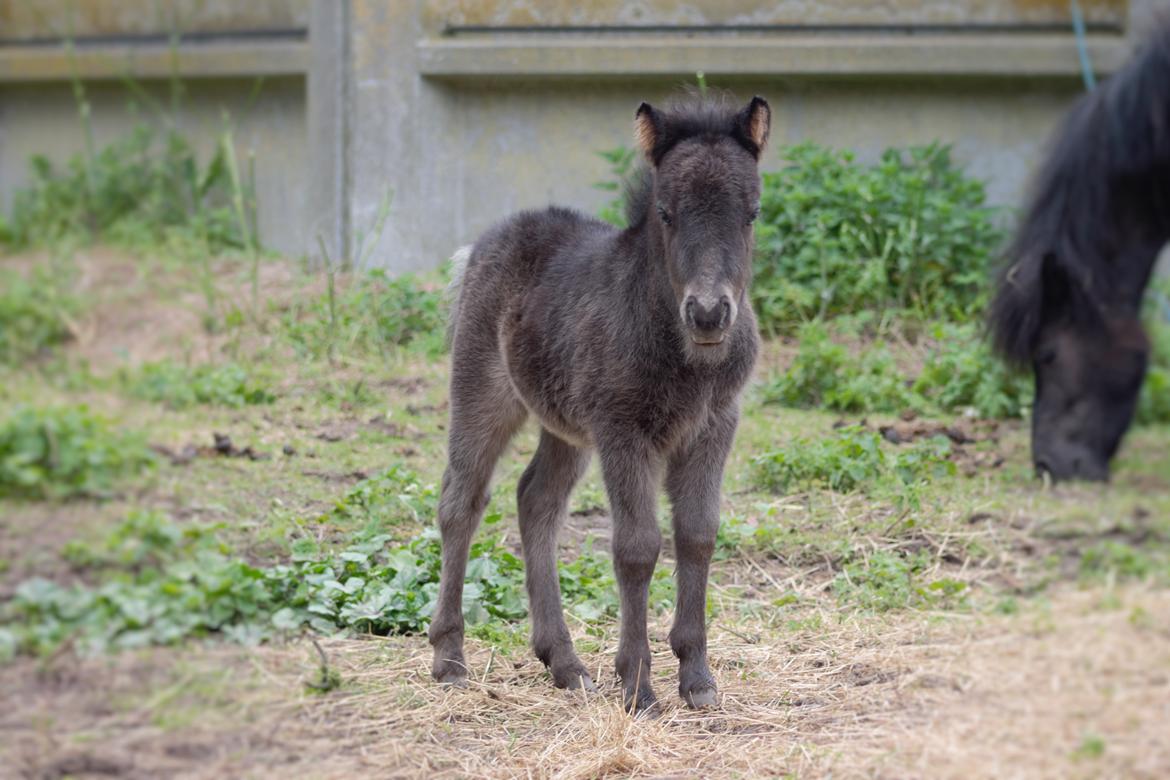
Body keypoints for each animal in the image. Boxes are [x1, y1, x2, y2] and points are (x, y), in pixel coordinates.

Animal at [428, 94, 767, 715]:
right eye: (666, 213)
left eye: (751, 214)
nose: (709, 314)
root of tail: (489, 239)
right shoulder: (622, 431)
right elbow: (637, 547)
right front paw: (637, 687)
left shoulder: (714, 427)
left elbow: (698, 535)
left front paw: (697, 678)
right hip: (483, 391)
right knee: (461, 502)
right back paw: (450, 658)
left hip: (564, 426)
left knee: (535, 499)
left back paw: (563, 662)